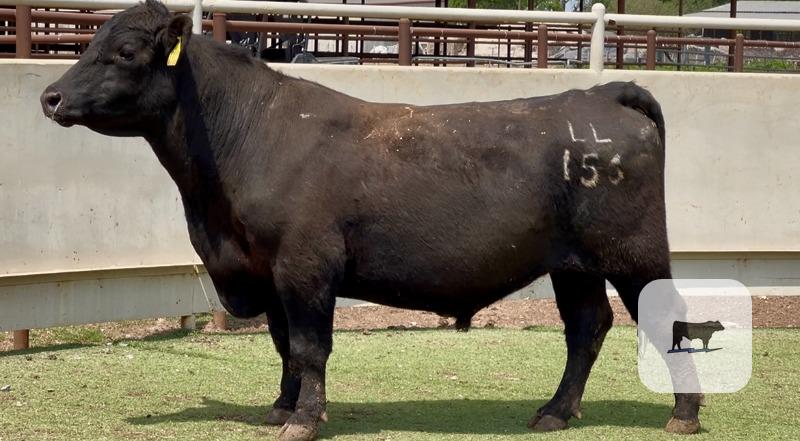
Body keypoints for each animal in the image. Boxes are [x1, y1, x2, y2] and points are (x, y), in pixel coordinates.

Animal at [39, 1, 703, 439]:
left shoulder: (305, 265)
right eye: (90, 42)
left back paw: (684, 414)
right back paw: (555, 412)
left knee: (663, 317)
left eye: (125, 52)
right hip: (574, 265)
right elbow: (284, 344)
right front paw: (281, 408)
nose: (49, 97)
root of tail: (600, 94)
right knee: (587, 326)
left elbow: (310, 346)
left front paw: (305, 420)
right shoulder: (268, 271)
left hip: (634, 252)